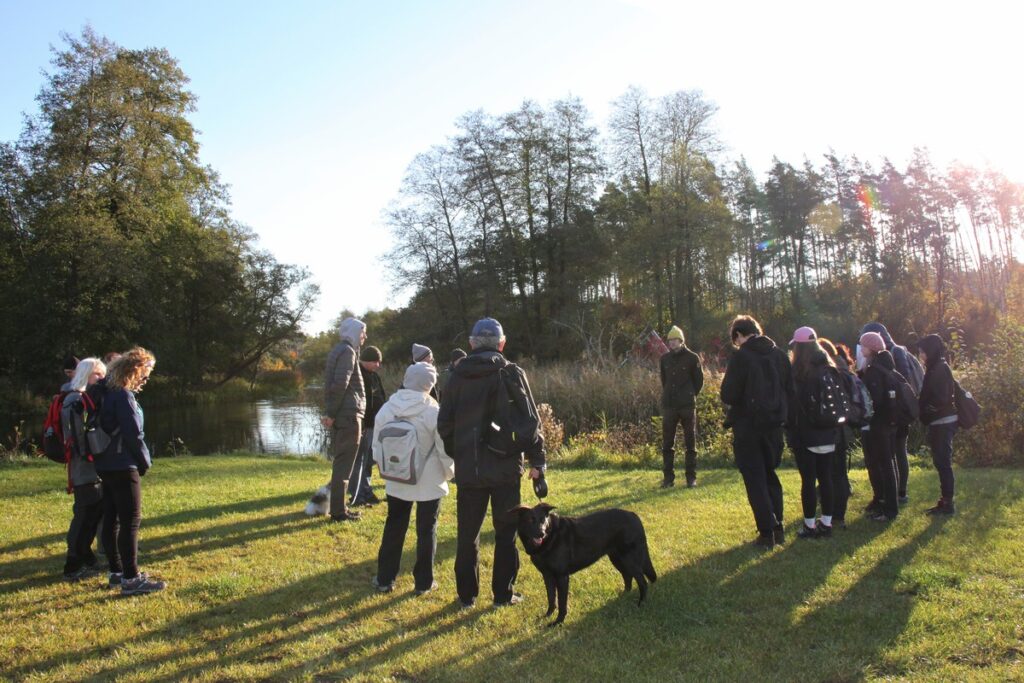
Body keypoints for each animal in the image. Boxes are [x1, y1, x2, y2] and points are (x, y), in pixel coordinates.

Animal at [509, 501, 655, 626]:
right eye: (530, 520)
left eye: (543, 519)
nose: (541, 533)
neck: (550, 538)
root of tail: (634, 515)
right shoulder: (547, 575)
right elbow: (551, 599)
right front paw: (547, 616)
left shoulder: (562, 577)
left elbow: (562, 603)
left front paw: (558, 622)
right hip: (617, 558)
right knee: (627, 576)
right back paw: (624, 595)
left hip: (629, 559)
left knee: (642, 581)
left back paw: (641, 604)